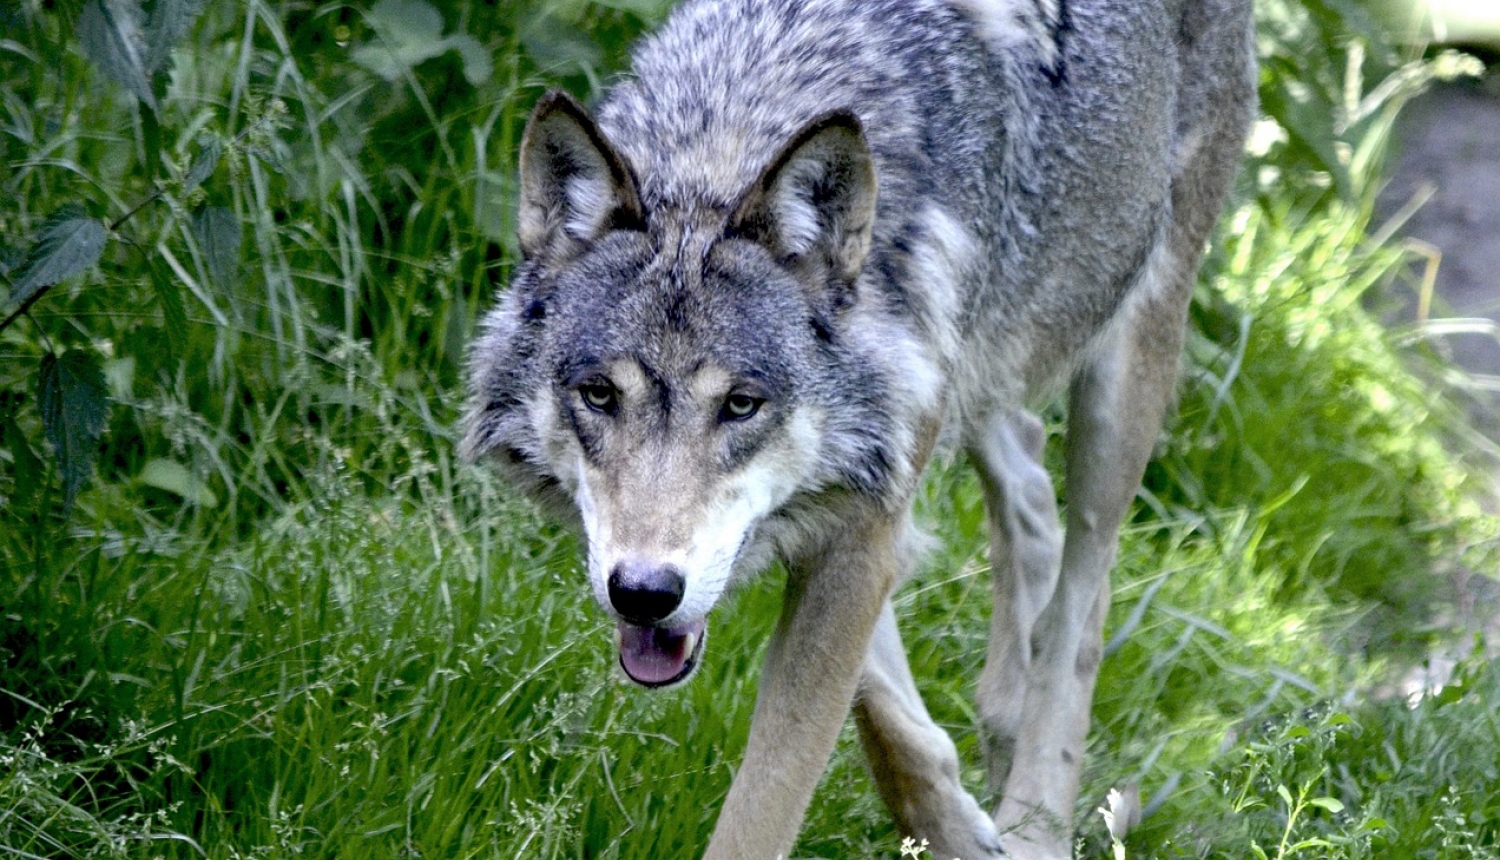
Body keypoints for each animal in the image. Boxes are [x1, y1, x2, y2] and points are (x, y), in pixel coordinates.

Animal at [462, 0, 1260, 852]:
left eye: (740, 404)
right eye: (599, 395)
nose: (644, 593)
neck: (728, 138)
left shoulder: (864, 514)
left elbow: (768, 803)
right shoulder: (862, 487)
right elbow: (883, 712)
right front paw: (954, 817)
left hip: (1128, 365)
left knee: (1083, 606)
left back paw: (1037, 823)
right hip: (981, 375)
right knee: (1030, 485)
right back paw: (1001, 734)